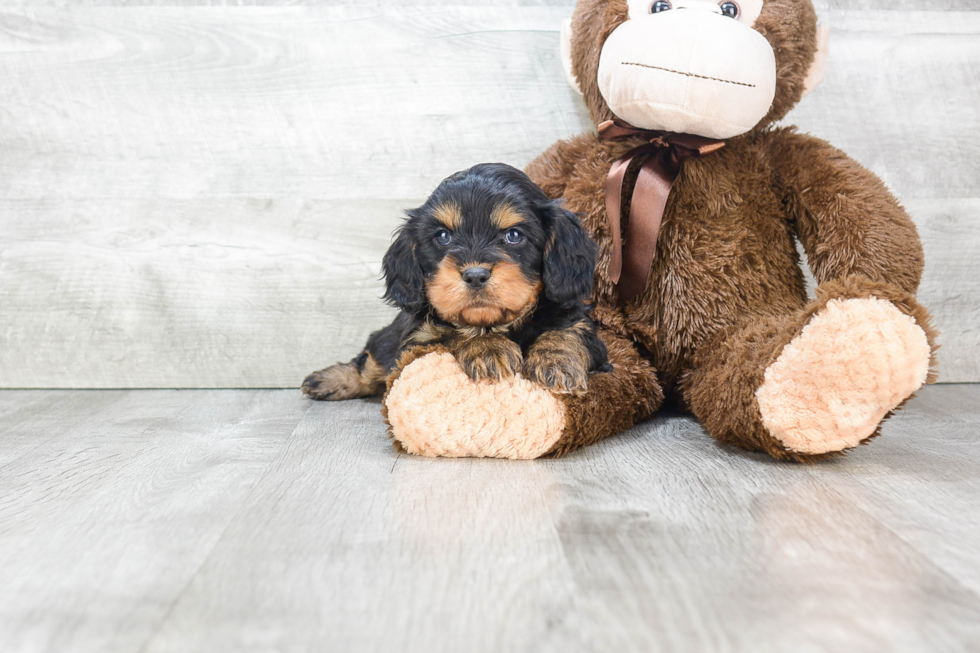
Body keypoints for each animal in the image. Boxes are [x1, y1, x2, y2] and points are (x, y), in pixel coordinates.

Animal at [302, 160, 608, 400]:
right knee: (370, 361)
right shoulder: (416, 342)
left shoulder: (589, 336)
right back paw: (329, 380)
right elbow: (450, 332)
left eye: (514, 235)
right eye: (443, 236)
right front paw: (486, 347)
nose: (475, 275)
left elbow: (568, 331)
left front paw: (556, 360)